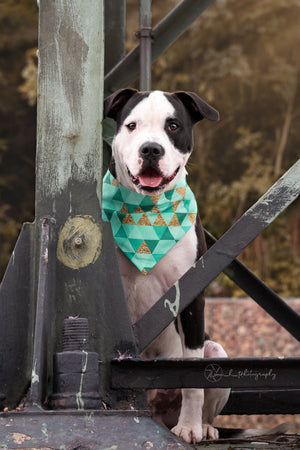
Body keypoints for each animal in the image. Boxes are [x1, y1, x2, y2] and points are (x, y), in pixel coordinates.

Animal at [103, 88, 230, 442]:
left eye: (173, 126)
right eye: (132, 125)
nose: (150, 148)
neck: (148, 211)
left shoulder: (191, 295)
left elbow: (193, 379)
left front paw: (189, 427)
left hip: (217, 351)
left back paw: (203, 425)